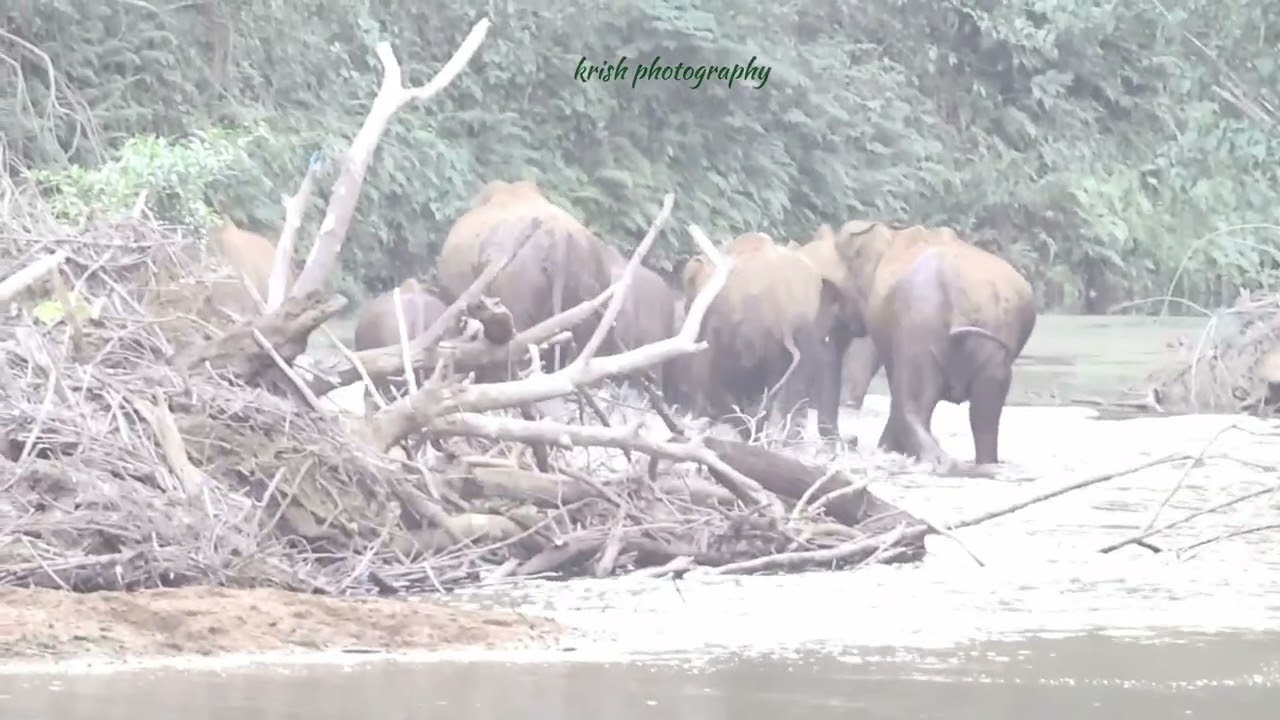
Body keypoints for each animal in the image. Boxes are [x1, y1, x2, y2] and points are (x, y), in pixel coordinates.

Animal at [811, 220, 1037, 467]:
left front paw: (888, 449)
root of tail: (959, 296)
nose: (851, 439)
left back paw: (935, 459)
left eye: (830, 289)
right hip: (991, 345)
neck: (889, 235)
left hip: (920, 328)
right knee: (983, 414)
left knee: (913, 404)